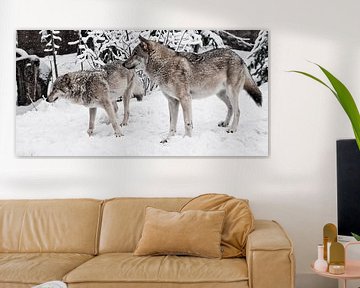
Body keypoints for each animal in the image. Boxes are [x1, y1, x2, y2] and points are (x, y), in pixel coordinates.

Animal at [124, 36, 262, 143]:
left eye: (134, 54)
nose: (123, 64)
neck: (163, 65)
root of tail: (239, 57)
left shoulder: (185, 99)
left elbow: (187, 122)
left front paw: (187, 139)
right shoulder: (172, 101)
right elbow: (172, 124)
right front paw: (168, 139)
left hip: (231, 93)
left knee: (238, 110)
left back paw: (232, 129)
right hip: (221, 94)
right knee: (231, 107)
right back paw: (225, 123)